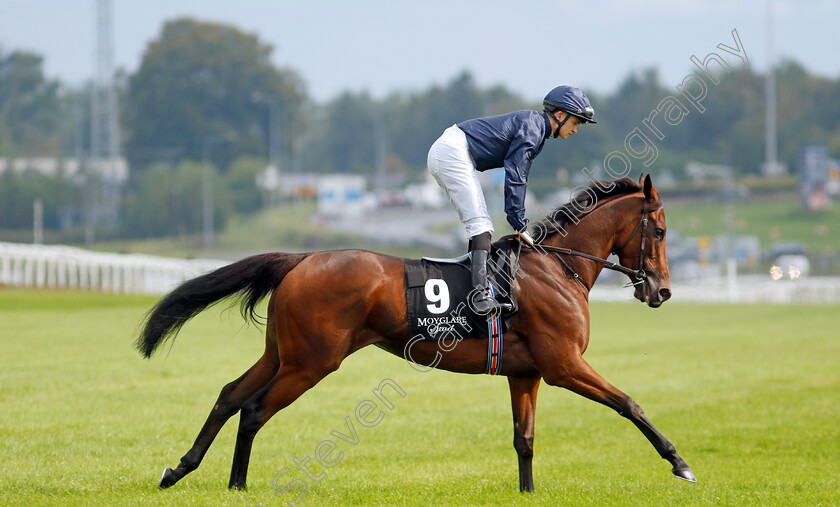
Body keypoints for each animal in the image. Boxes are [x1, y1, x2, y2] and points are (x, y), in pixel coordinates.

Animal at [138, 174, 696, 492]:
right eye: (661, 231)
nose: (663, 291)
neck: (558, 267)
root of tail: (301, 258)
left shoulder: (527, 374)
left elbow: (525, 441)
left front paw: (528, 492)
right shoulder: (564, 366)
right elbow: (629, 404)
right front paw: (680, 463)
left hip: (282, 353)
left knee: (229, 394)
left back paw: (179, 469)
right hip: (311, 362)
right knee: (253, 409)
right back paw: (236, 484)